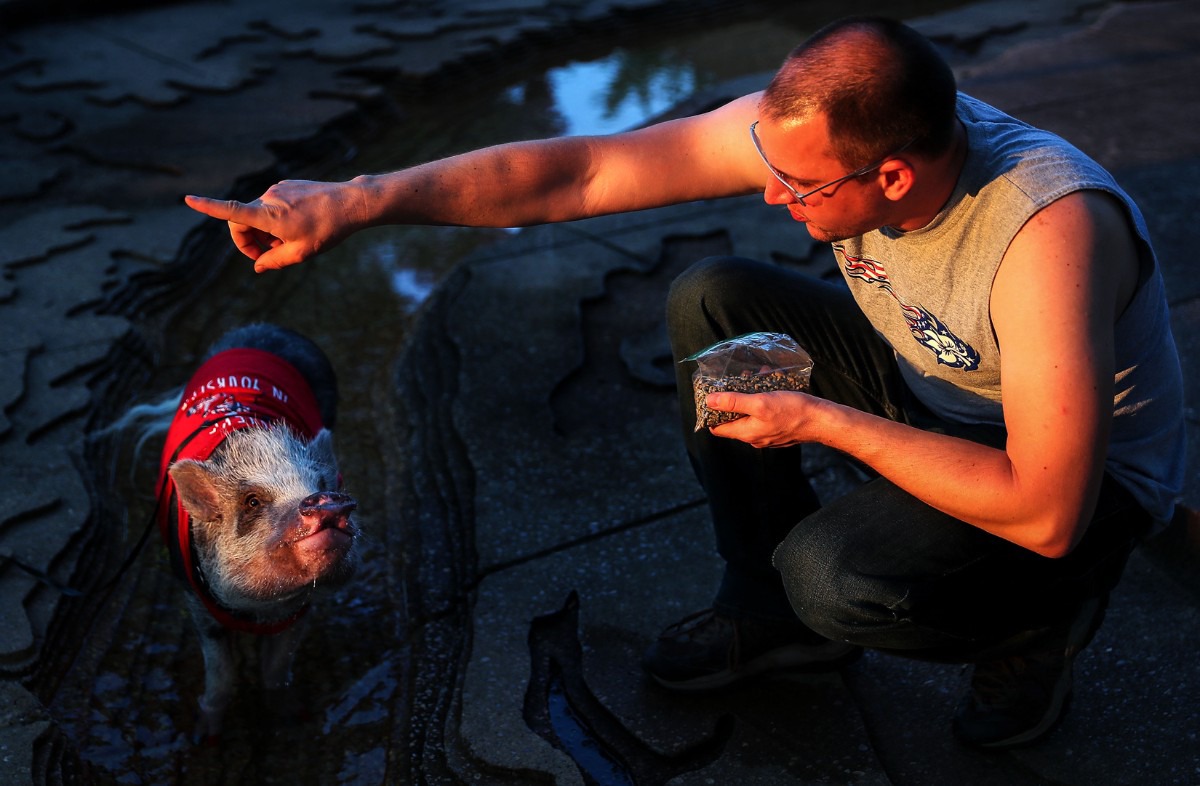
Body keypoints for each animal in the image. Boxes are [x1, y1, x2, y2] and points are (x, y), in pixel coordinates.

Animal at [148, 324, 357, 739]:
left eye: (321, 482)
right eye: (252, 502)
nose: (324, 499)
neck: (258, 610)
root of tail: (267, 328)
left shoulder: (301, 610)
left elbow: (276, 671)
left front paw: (293, 720)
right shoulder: (197, 602)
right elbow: (221, 676)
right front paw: (204, 736)